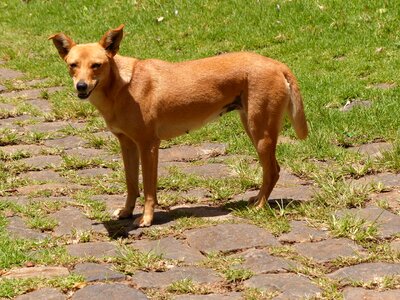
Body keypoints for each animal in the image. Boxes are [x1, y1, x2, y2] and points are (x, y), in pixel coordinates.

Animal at [49, 25, 306, 227]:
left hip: (260, 133)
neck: (121, 86)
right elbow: (131, 184)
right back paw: (256, 199)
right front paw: (127, 211)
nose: (81, 86)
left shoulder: (148, 145)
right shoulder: (127, 145)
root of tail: (277, 64)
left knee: (272, 171)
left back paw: (260, 205)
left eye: (97, 65)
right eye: (73, 65)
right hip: (253, 128)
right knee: (272, 169)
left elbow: (149, 188)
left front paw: (146, 218)